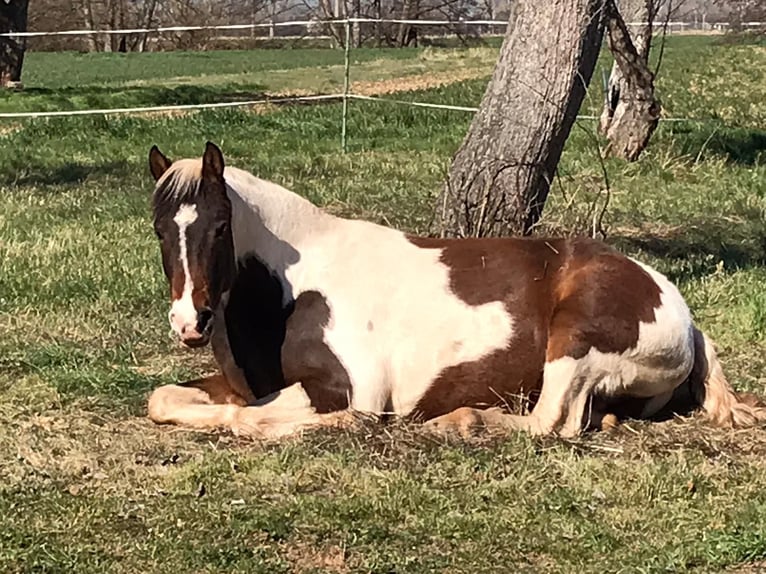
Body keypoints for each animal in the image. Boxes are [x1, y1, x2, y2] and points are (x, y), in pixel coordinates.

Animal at [145, 141, 766, 439]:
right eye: (158, 228)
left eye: (219, 227)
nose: (189, 324)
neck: (293, 291)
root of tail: (682, 313)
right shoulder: (238, 386)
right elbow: (164, 400)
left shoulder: (349, 390)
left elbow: (254, 419)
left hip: (576, 340)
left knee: (551, 423)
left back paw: (461, 421)